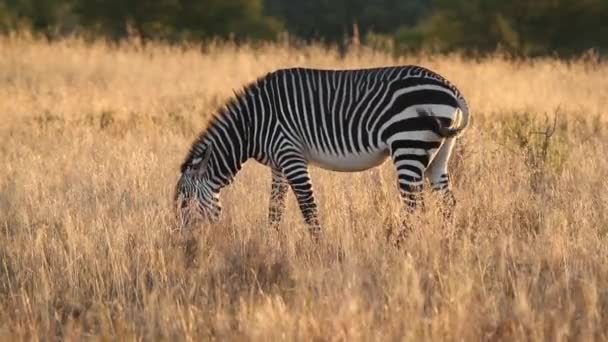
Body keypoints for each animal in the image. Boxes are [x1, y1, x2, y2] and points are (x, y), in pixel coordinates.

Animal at [175, 65, 470, 239]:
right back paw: (448, 243)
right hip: (439, 153)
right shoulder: (278, 164)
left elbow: (307, 205)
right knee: (447, 203)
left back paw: (400, 246)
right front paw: (271, 242)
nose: (183, 246)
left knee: (413, 205)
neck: (252, 124)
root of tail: (451, 88)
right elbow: (275, 207)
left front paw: (319, 247)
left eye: (184, 204)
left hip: (408, 143)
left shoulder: (290, 153)